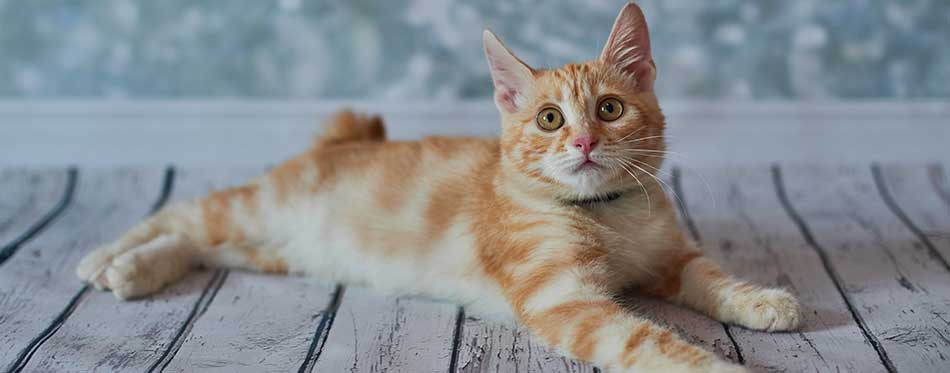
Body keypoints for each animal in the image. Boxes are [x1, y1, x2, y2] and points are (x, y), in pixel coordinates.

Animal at [76, 3, 804, 372]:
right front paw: (724, 369)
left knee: (199, 245)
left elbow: (711, 274)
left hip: (274, 248)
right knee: (182, 212)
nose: (583, 143)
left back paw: (137, 270)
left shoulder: (670, 257)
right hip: (260, 208)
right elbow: (650, 343)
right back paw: (107, 256)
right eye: (549, 119)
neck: (605, 213)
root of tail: (338, 143)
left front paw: (763, 299)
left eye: (610, 109)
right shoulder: (567, 300)